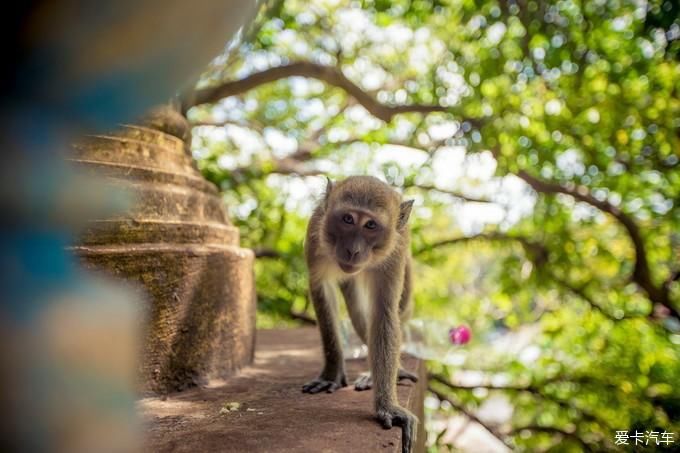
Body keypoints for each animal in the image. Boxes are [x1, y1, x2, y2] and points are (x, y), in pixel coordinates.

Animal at [302, 176, 420, 452]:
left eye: (370, 225)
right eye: (347, 219)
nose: (353, 250)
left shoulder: (396, 252)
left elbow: (385, 314)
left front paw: (388, 406)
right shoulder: (315, 234)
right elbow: (322, 291)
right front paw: (332, 372)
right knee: (356, 309)